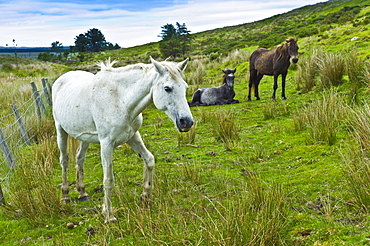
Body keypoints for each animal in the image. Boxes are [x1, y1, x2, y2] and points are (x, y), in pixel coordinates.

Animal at [53, 56, 197, 222]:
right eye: (167, 88)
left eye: (185, 87)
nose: (187, 122)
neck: (120, 99)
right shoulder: (106, 143)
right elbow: (108, 179)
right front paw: (109, 215)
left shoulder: (132, 136)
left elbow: (149, 160)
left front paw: (145, 197)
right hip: (60, 130)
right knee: (64, 160)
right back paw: (65, 196)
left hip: (85, 137)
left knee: (79, 157)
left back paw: (82, 193)